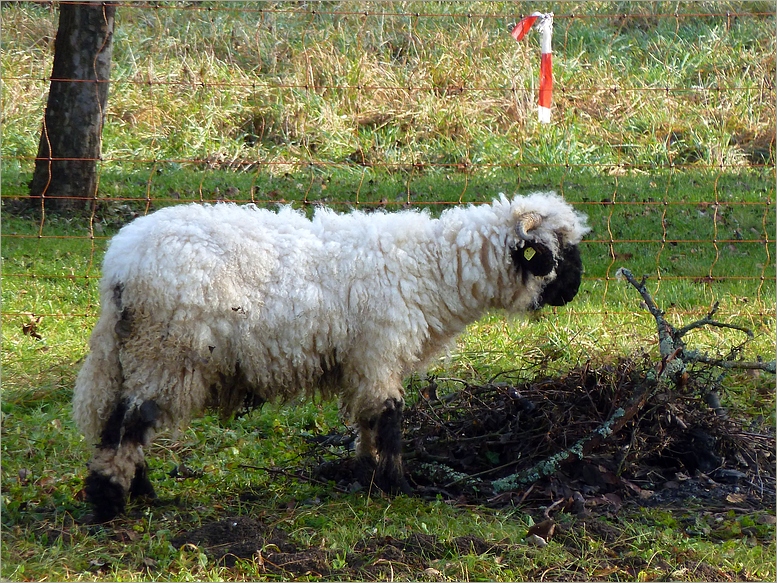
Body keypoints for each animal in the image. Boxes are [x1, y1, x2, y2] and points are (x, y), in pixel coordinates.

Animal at [73, 194, 588, 524]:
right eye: (559, 253)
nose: (573, 293)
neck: (433, 270)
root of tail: (119, 266)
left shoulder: (365, 363)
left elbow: (367, 421)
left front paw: (366, 479)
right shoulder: (379, 352)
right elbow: (390, 418)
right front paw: (398, 487)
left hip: (137, 353)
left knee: (124, 418)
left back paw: (140, 491)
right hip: (167, 350)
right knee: (128, 422)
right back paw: (110, 501)